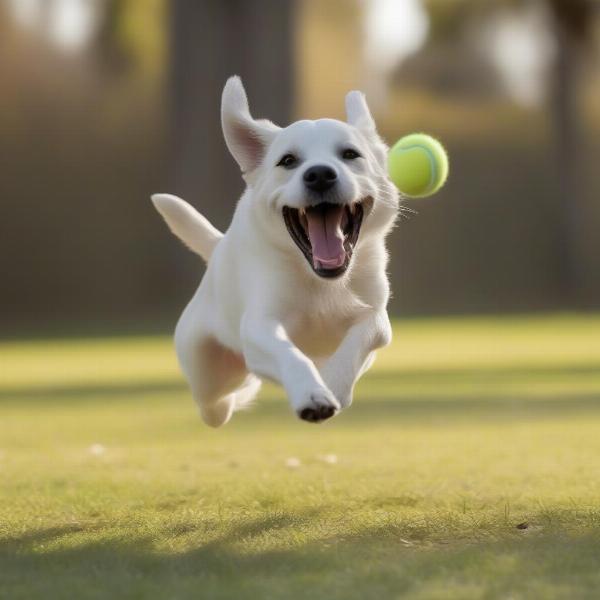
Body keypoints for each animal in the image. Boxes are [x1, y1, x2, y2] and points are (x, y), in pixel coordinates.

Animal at [152, 76, 398, 426]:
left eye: (351, 154)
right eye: (288, 161)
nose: (319, 174)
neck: (320, 284)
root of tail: (218, 248)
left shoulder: (377, 318)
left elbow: (360, 339)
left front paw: (333, 384)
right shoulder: (260, 325)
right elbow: (288, 353)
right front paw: (311, 394)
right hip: (207, 376)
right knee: (218, 404)